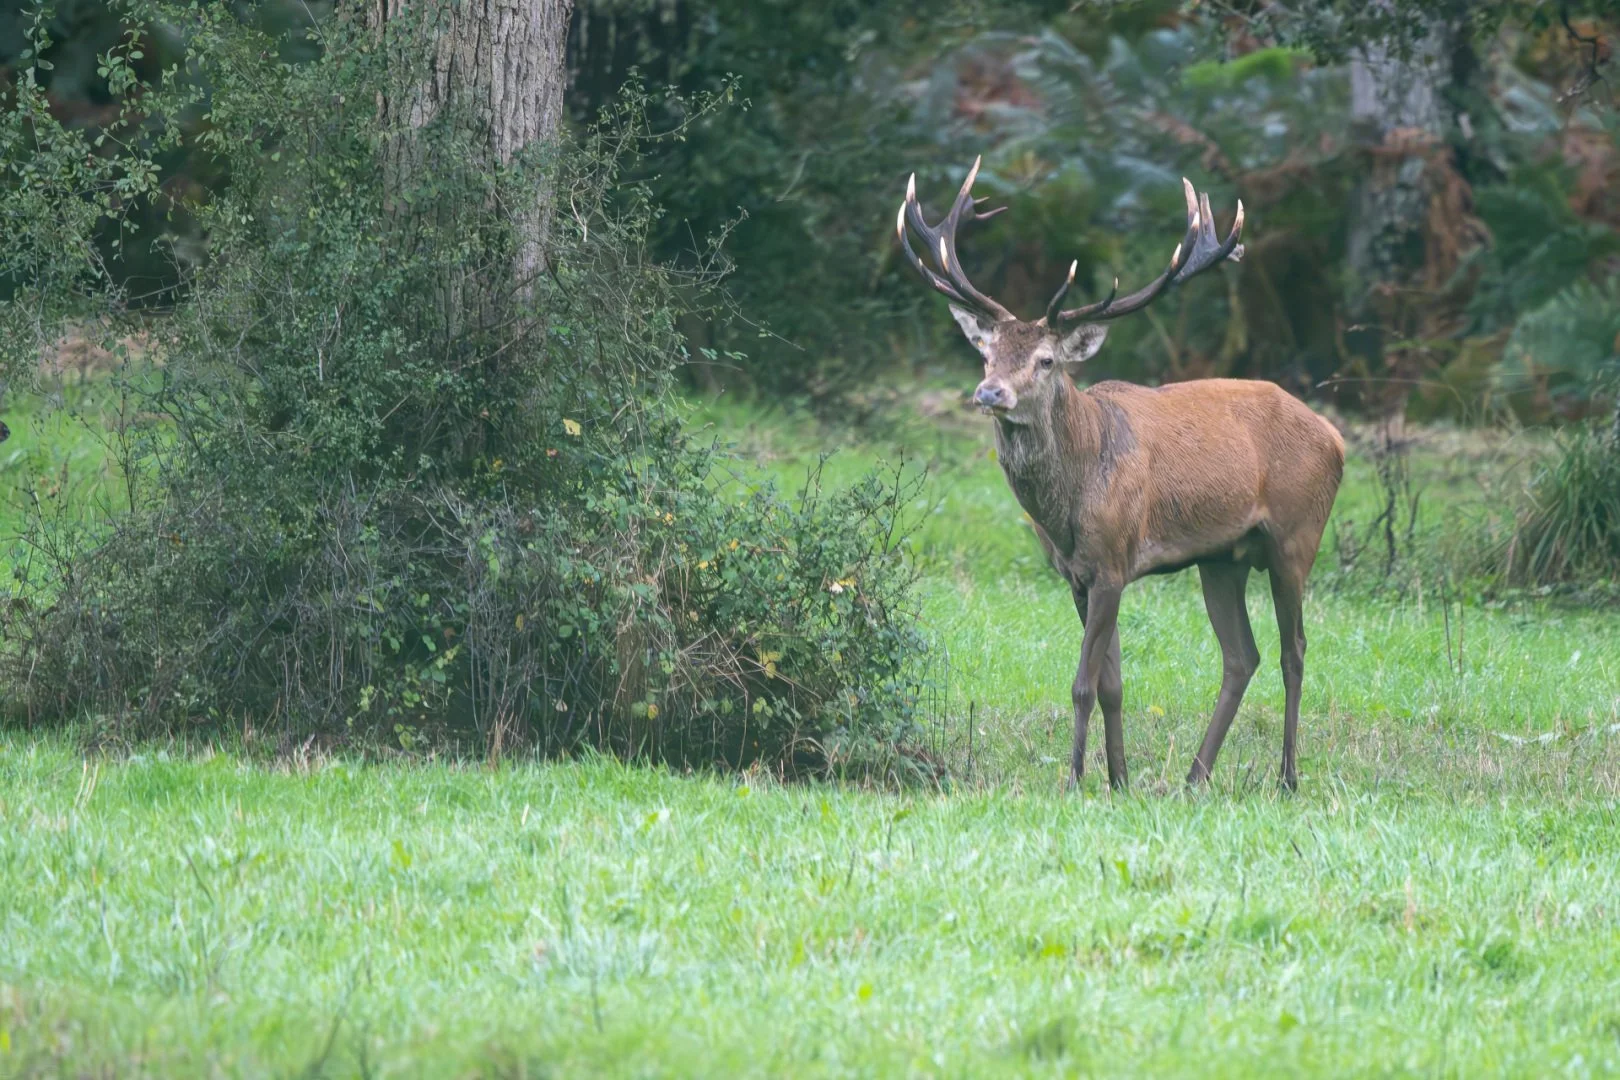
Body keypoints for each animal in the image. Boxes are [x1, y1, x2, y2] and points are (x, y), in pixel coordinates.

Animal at [897, 159, 1343, 792]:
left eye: (1046, 360)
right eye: (986, 354)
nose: (990, 393)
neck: (1068, 506)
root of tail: (1336, 437)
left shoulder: (1113, 560)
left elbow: (1083, 684)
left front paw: (1075, 779)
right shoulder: (1076, 575)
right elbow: (1111, 684)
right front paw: (1119, 779)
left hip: (1295, 537)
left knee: (1294, 649)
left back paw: (1286, 777)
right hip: (1221, 558)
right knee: (1242, 656)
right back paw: (1194, 777)